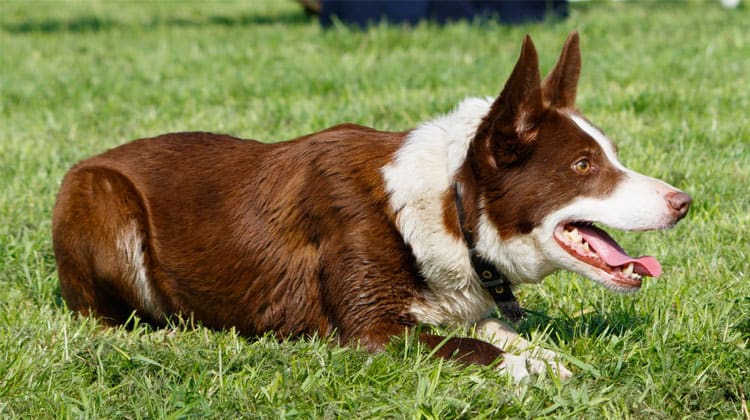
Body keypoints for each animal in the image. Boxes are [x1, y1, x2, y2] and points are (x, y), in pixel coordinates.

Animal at [50, 33, 692, 380]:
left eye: (612, 154)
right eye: (584, 165)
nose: (684, 202)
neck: (449, 205)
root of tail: (89, 159)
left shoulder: (462, 305)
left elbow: (500, 331)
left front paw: (548, 358)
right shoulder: (371, 332)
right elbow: (476, 348)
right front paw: (534, 371)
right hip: (104, 204)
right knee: (106, 319)